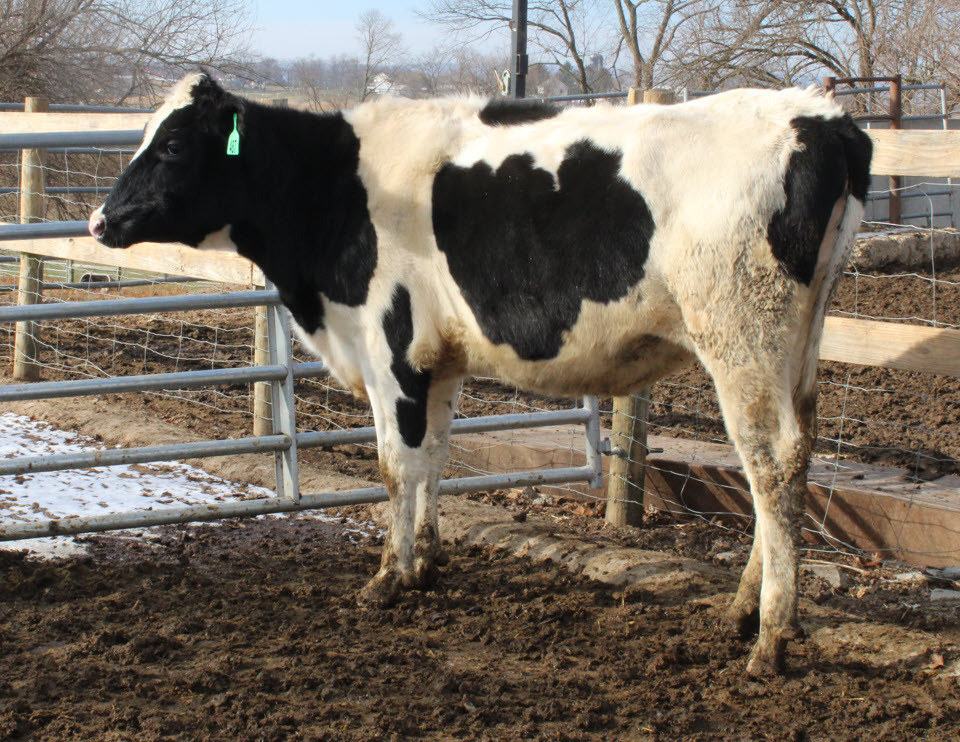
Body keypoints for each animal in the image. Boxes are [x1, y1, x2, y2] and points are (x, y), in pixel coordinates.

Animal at [88, 72, 872, 676]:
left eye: (174, 144)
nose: (99, 220)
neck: (334, 191)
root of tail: (821, 118)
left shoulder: (391, 347)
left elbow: (395, 465)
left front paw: (387, 577)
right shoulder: (438, 359)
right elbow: (434, 455)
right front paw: (426, 565)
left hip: (742, 337)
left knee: (770, 464)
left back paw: (770, 639)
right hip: (797, 348)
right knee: (796, 457)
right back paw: (745, 611)